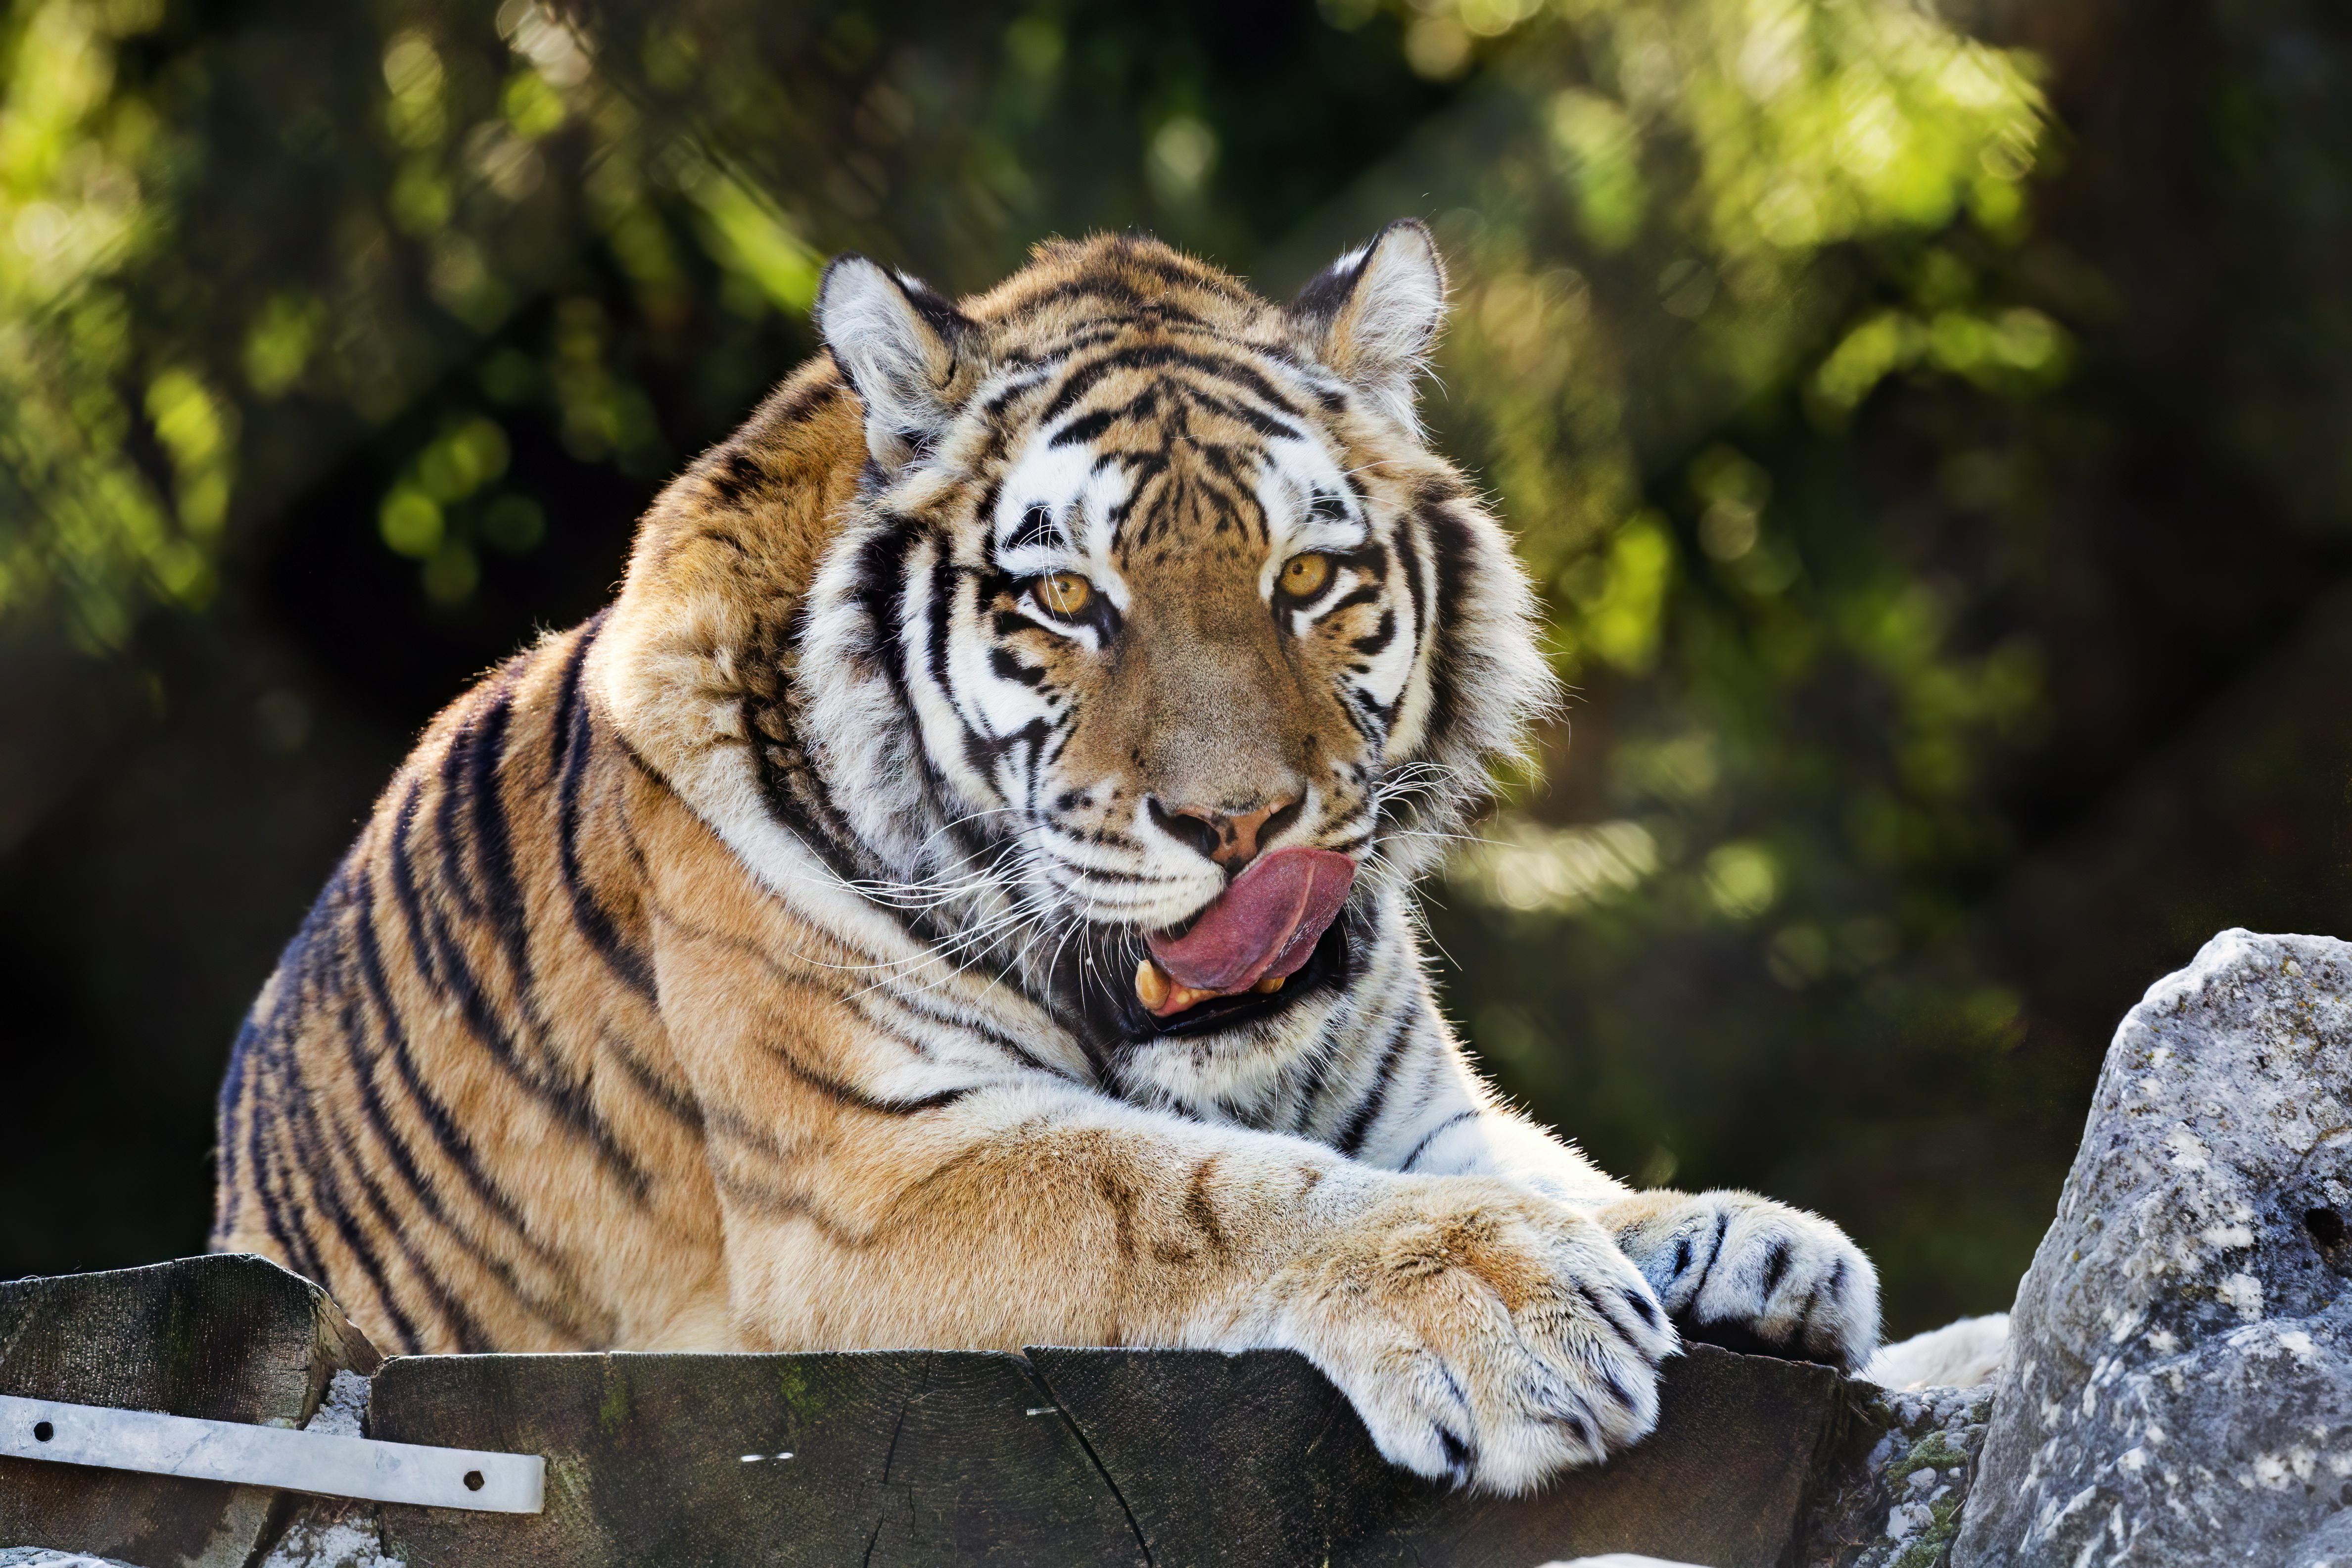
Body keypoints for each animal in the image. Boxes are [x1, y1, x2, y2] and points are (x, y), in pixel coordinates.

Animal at [216, 223, 1872, 1495]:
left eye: (1309, 577)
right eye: (1069, 599)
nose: (1239, 826)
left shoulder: (1414, 1104)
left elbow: (1548, 1167)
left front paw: (1749, 1246)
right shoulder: (867, 1183)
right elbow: (1188, 1190)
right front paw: (1507, 1302)